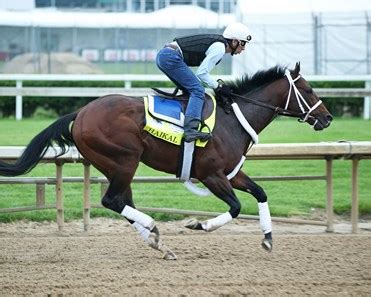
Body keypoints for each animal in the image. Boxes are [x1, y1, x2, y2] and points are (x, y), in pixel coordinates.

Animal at [0, 62, 332, 260]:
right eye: (308, 89)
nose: (327, 118)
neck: (233, 120)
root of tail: (80, 112)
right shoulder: (212, 175)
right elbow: (236, 207)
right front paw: (198, 224)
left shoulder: (231, 173)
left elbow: (261, 193)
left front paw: (268, 238)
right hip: (125, 160)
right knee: (112, 200)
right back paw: (154, 230)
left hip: (114, 166)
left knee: (121, 202)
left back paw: (157, 242)